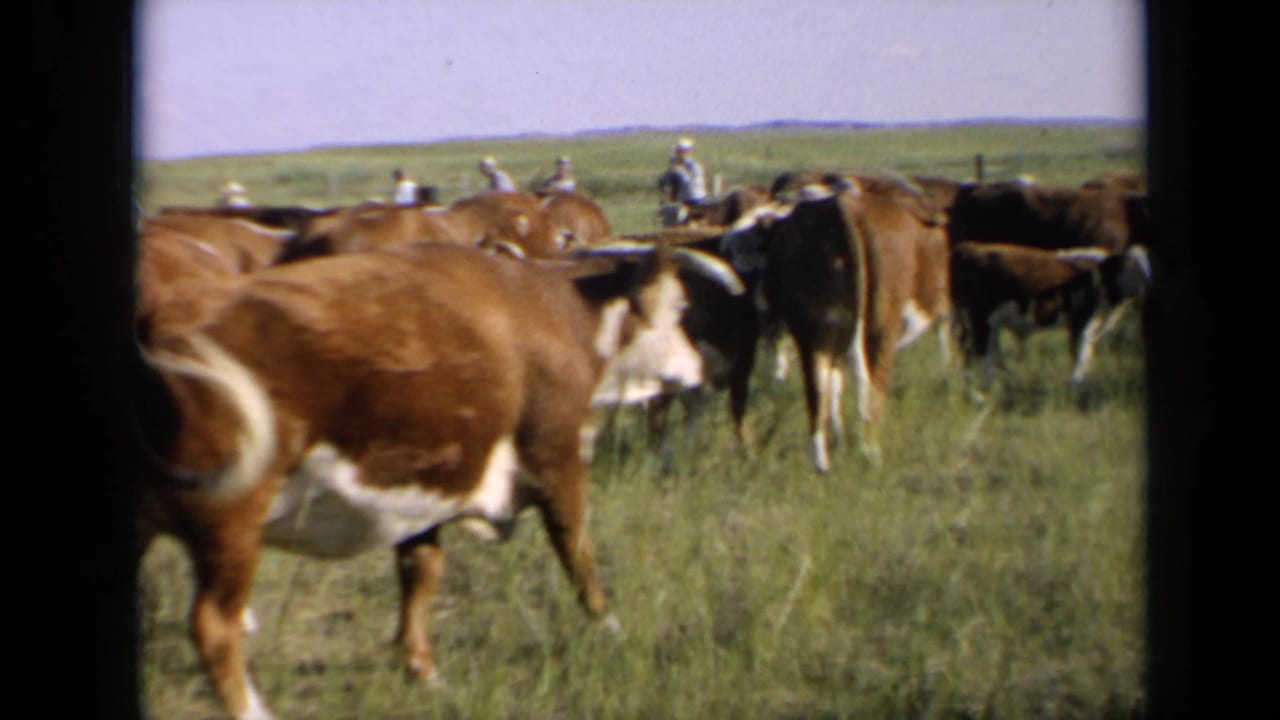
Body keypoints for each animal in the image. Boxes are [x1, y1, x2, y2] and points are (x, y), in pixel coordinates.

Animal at [136, 241, 743, 720]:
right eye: (680, 308)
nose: (701, 368)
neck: (552, 314)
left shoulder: (418, 487)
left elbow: (420, 571)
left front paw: (422, 668)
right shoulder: (556, 455)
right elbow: (578, 551)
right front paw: (609, 626)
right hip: (232, 515)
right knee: (214, 625)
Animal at [723, 175, 952, 472]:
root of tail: (843, 206)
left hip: (813, 329)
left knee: (819, 386)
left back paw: (821, 461)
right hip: (879, 324)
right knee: (870, 384)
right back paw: (869, 453)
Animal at [949, 240, 1152, 399]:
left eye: (1148, 270)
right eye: (1134, 269)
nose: (1147, 292)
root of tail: (969, 247)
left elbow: (1086, 357)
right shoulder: (1082, 323)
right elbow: (1080, 357)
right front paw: (1076, 390)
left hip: (978, 322)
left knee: (975, 354)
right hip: (978, 318)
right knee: (978, 354)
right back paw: (986, 394)